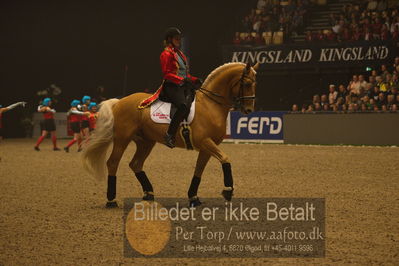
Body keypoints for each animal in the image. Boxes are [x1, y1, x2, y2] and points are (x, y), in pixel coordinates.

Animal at [83, 61, 260, 208]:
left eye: (255, 84)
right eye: (247, 83)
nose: (249, 110)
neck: (210, 105)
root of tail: (119, 101)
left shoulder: (206, 147)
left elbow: (199, 169)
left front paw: (193, 198)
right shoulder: (205, 142)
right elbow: (225, 159)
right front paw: (228, 190)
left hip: (146, 142)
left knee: (136, 164)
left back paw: (149, 194)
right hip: (122, 139)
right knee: (113, 163)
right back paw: (111, 200)